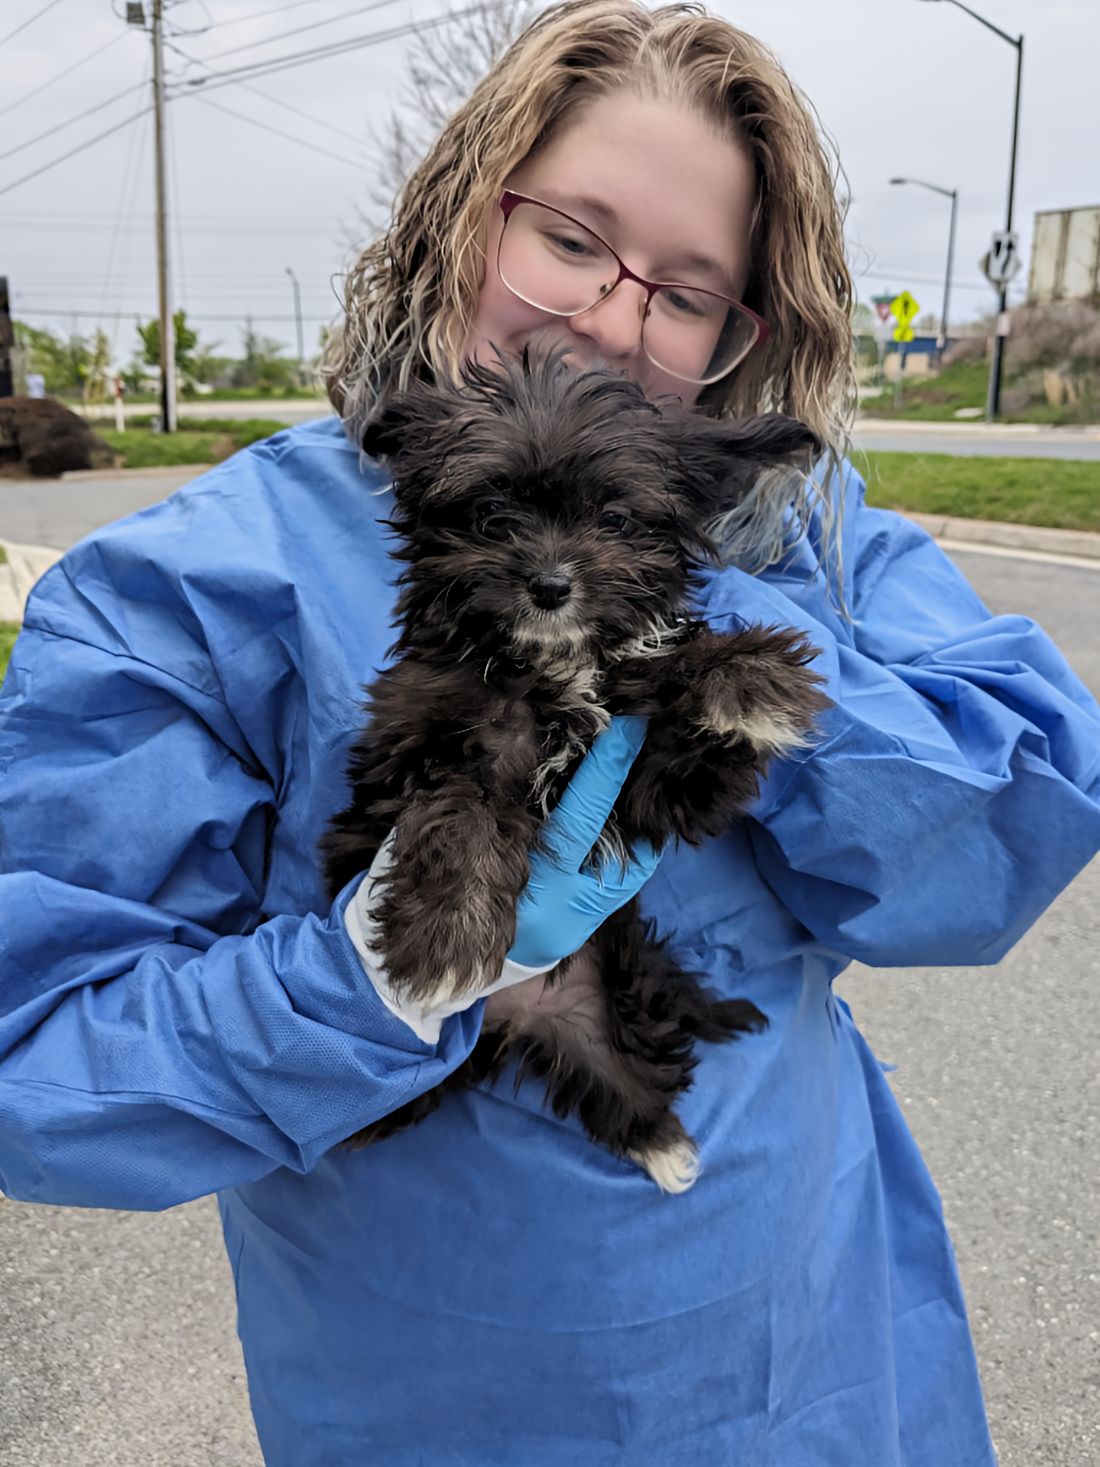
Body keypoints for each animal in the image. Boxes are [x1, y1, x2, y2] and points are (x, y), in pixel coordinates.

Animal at [322, 352, 833, 1191]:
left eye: (616, 520)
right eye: (491, 515)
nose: (550, 584)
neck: (552, 665)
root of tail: (509, 1016)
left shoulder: (653, 790)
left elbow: (692, 741)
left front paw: (745, 677)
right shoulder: (412, 746)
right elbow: (461, 801)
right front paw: (445, 930)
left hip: (601, 1005)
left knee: (626, 1072)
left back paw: (664, 1144)